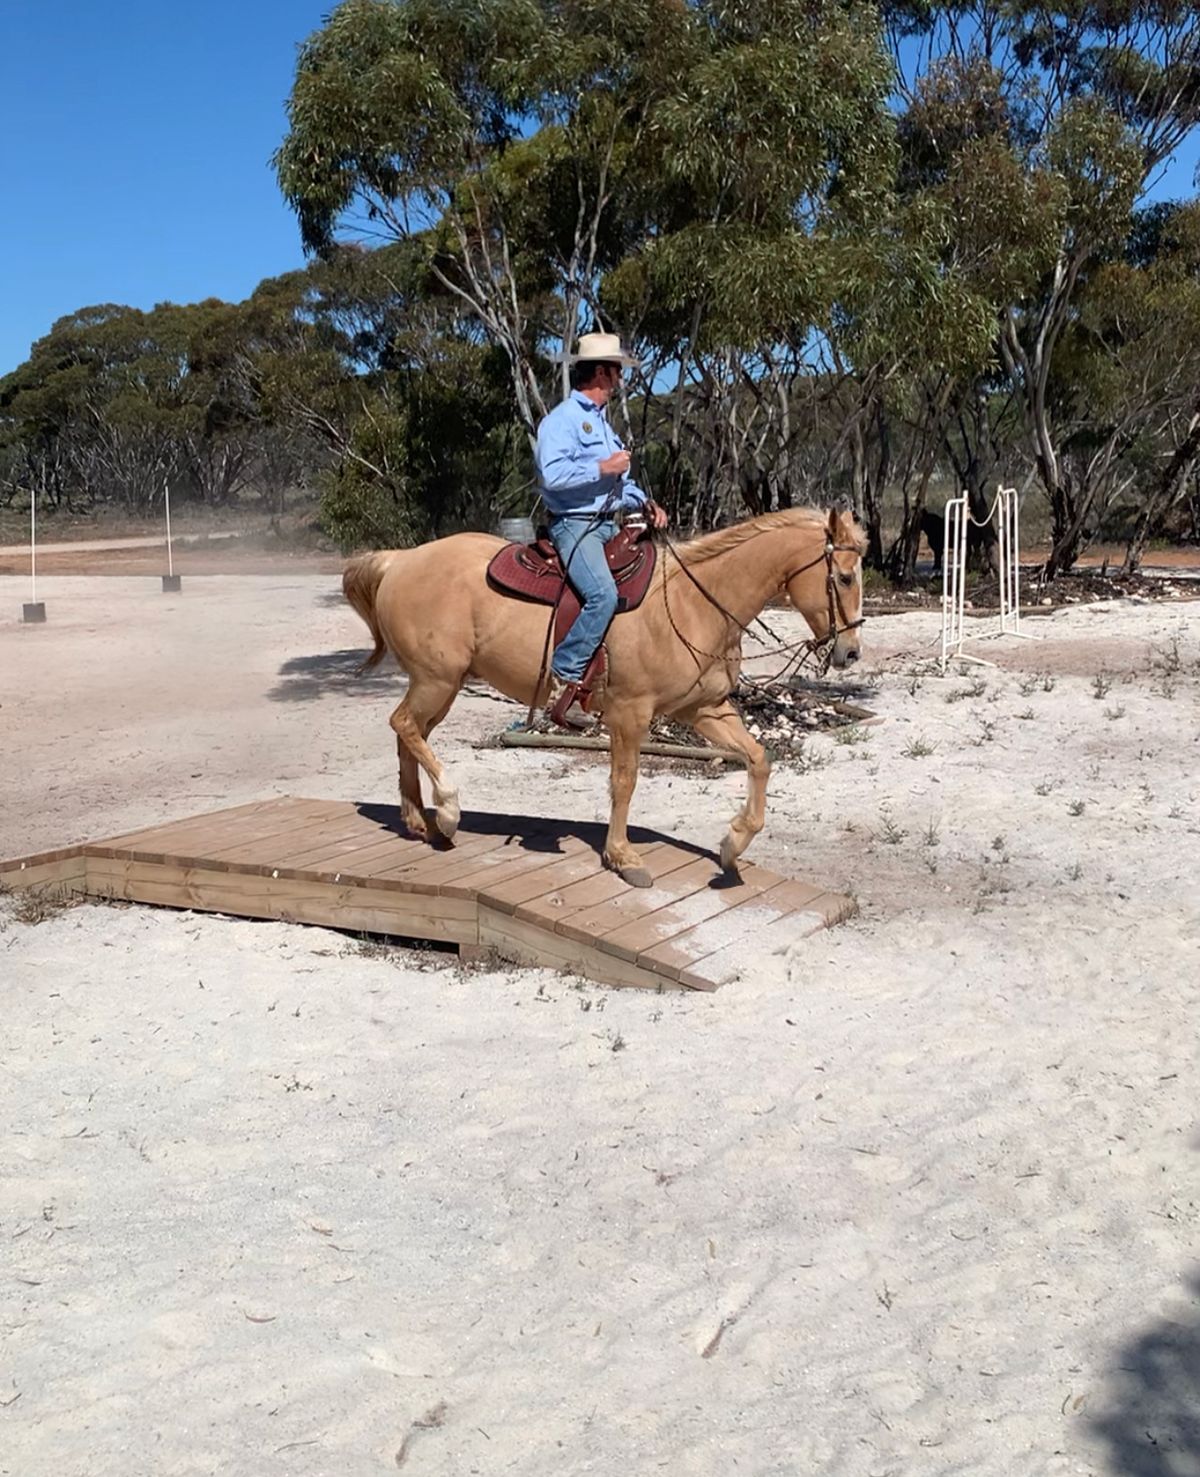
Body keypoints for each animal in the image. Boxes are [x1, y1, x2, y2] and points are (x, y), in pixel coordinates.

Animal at [342, 508, 868, 880]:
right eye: (844, 577)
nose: (850, 651)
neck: (691, 603)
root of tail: (401, 559)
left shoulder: (705, 710)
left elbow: (758, 759)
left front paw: (732, 845)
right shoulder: (630, 714)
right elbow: (624, 782)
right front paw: (622, 857)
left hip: (439, 686)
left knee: (407, 734)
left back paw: (420, 822)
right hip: (438, 680)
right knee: (404, 726)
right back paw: (448, 810)